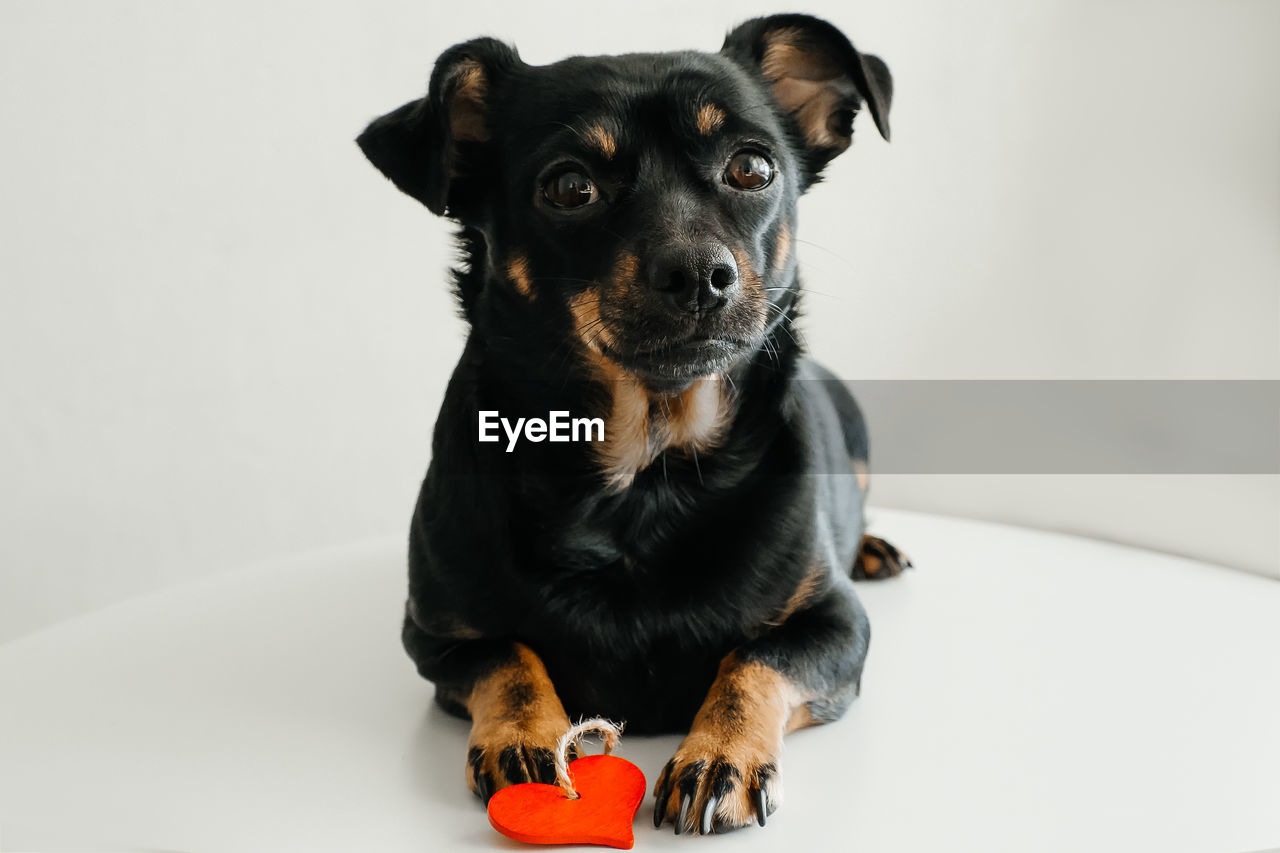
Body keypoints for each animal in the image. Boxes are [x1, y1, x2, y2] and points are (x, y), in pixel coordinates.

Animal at [355, 13, 906, 835]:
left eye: (753, 169)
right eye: (569, 187)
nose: (700, 274)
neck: (646, 476)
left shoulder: (836, 624)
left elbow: (753, 661)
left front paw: (720, 756)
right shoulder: (435, 637)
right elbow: (510, 658)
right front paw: (528, 737)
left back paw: (872, 547)